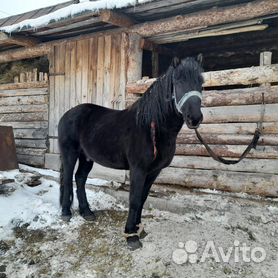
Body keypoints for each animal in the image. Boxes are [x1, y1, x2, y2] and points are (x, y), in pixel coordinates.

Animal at [57, 56, 203, 250]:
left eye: (201, 82)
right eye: (178, 82)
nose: (194, 118)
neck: (150, 127)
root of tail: (67, 115)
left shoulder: (154, 171)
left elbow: (142, 198)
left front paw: (139, 229)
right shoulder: (138, 170)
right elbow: (133, 200)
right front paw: (131, 236)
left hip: (86, 157)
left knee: (80, 178)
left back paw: (86, 212)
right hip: (70, 154)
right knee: (67, 178)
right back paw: (66, 213)